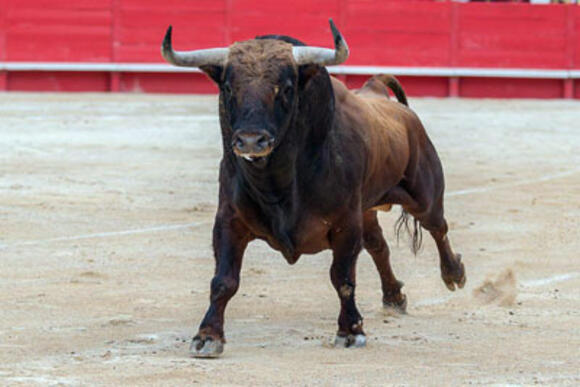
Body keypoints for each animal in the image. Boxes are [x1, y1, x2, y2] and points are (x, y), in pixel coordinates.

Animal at [160, 18, 466, 358]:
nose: (251, 140)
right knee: (379, 246)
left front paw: (351, 331)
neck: (277, 183)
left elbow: (342, 277)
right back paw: (394, 297)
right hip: (367, 210)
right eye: (228, 88)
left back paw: (454, 273)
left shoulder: (345, 224)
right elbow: (223, 280)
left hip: (424, 194)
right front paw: (207, 335)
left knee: (437, 227)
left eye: (286, 88)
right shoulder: (229, 220)